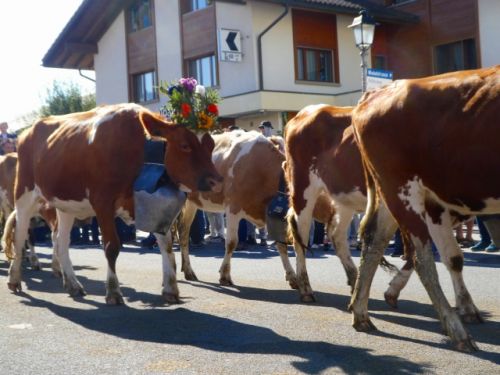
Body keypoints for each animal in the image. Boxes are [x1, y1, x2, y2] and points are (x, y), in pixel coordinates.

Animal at [2, 103, 221, 306]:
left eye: (211, 145)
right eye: (185, 145)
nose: (216, 181)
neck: (138, 150)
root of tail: (27, 132)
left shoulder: (155, 207)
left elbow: (166, 246)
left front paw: (170, 289)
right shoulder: (103, 202)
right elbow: (111, 246)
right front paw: (113, 292)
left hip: (65, 204)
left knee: (61, 240)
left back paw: (72, 284)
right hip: (24, 196)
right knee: (20, 235)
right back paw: (15, 279)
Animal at [352, 67, 500, 352]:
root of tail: (378, 92)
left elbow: (453, 257)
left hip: (395, 192)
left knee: (375, 240)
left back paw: (360, 313)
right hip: (401, 188)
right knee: (421, 257)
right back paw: (457, 331)